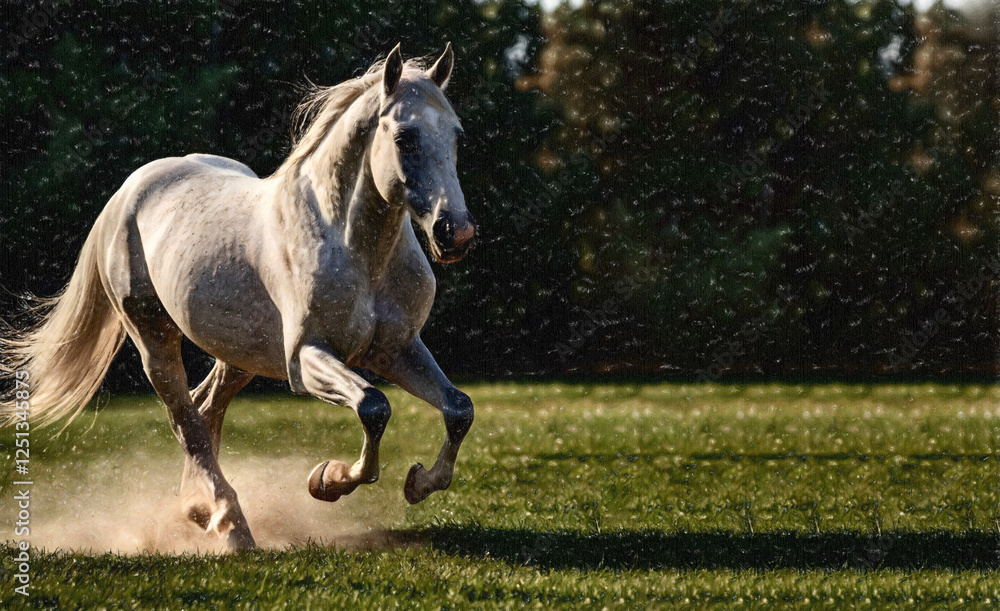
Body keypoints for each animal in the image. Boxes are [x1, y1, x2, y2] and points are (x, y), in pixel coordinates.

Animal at [0, 44, 477, 550]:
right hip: (153, 339)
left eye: (457, 135)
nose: (456, 233)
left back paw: (197, 511)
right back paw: (231, 526)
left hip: (239, 354)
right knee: (186, 421)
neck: (354, 247)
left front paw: (419, 483)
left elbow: (458, 409)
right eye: (404, 136)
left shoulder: (396, 349)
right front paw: (326, 481)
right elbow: (374, 405)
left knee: (205, 409)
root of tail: (130, 190)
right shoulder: (305, 358)